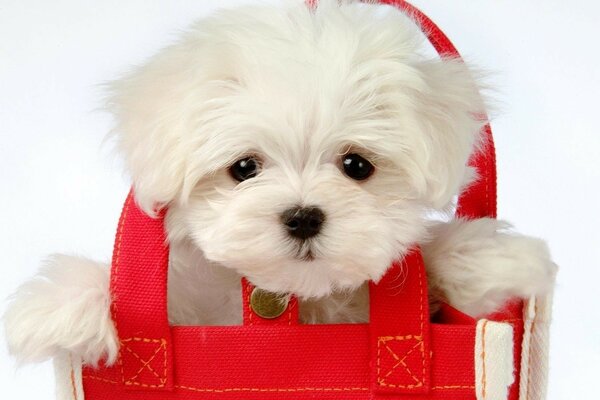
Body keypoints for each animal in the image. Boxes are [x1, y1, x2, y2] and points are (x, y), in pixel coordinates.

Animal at [5, 0, 556, 368]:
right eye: (244, 168)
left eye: (356, 165)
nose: (304, 217)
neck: (292, 300)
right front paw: (58, 306)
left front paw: (490, 258)